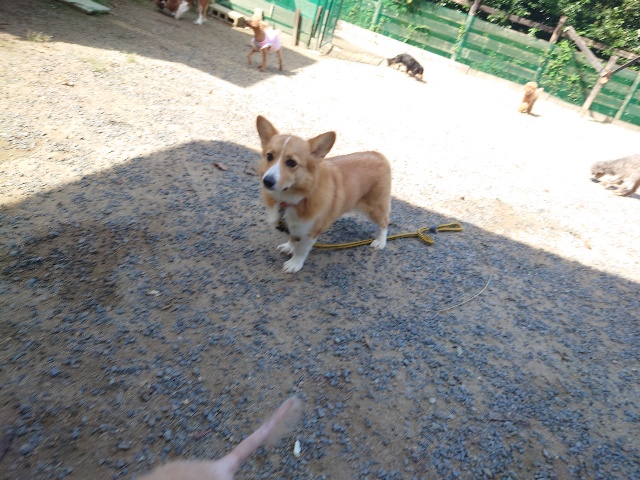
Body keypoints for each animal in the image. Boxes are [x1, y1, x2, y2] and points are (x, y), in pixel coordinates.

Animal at [256, 115, 392, 273]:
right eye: (269, 156)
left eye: (291, 162)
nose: (267, 181)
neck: (293, 197)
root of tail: (379, 155)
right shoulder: (295, 226)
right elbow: (293, 237)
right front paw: (289, 246)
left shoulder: (310, 232)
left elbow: (301, 250)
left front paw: (294, 264)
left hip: (376, 207)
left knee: (384, 223)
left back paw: (380, 242)